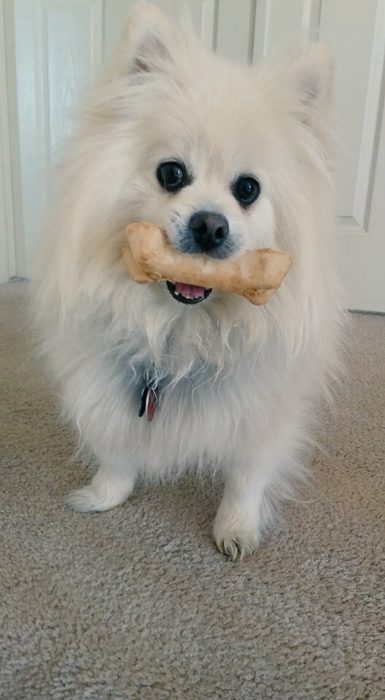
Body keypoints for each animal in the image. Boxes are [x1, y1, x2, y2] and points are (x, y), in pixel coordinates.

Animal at [35, 1, 342, 556]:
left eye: (248, 189)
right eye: (171, 173)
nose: (210, 225)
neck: (180, 335)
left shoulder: (268, 411)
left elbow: (247, 475)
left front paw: (235, 529)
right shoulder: (108, 385)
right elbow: (116, 448)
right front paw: (104, 495)